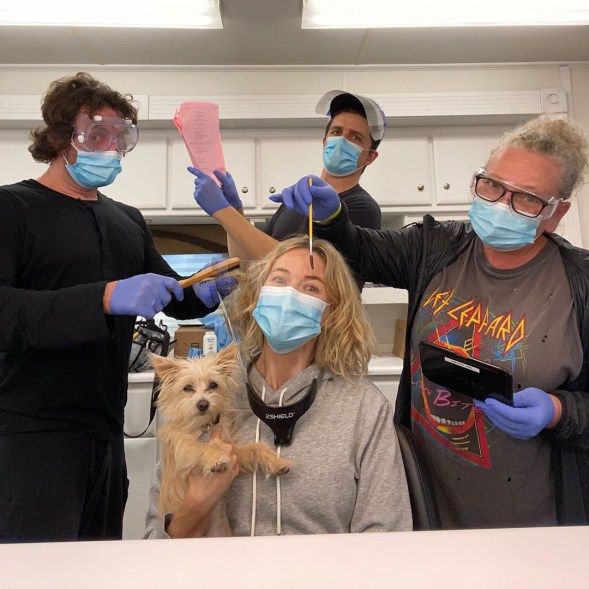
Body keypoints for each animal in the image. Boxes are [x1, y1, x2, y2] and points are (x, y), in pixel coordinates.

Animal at [152, 342, 290, 532]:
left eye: (213, 385)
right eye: (187, 388)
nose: (203, 404)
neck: (204, 426)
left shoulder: (233, 450)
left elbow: (255, 447)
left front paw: (275, 461)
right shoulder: (184, 450)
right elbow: (208, 445)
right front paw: (217, 457)